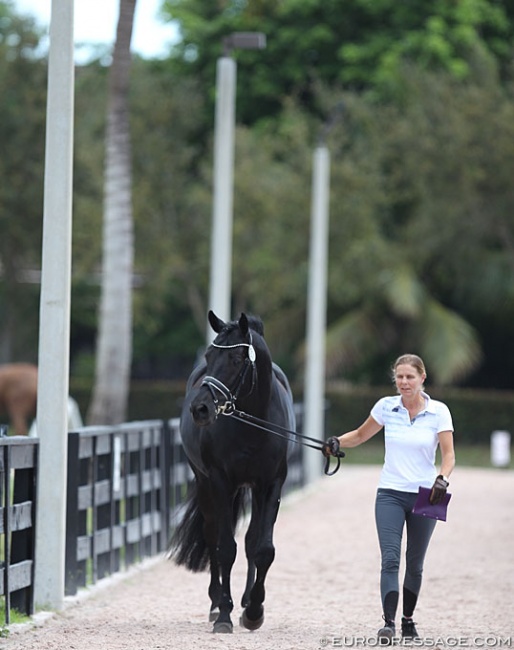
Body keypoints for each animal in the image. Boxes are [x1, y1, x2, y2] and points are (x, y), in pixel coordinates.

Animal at [170, 312, 294, 632]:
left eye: (237, 359)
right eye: (209, 355)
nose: (200, 409)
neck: (254, 423)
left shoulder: (271, 484)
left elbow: (262, 548)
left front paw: (254, 611)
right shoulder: (219, 482)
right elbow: (225, 547)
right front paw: (224, 614)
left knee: (250, 540)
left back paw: (246, 602)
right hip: (206, 486)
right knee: (213, 536)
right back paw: (217, 604)